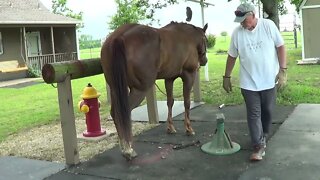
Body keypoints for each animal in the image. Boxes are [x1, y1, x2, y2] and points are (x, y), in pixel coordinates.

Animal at [101, 21, 209, 160]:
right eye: (205, 40)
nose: (204, 61)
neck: (186, 37)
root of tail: (118, 37)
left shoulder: (169, 79)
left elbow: (170, 102)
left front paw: (170, 128)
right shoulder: (189, 75)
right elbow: (186, 102)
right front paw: (189, 129)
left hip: (115, 88)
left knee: (115, 113)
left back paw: (124, 147)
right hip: (139, 90)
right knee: (124, 112)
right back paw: (128, 149)